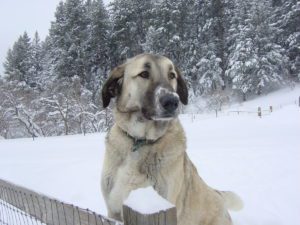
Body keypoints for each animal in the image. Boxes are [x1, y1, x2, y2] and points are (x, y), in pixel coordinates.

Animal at [99, 53, 243, 224]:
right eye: (144, 74)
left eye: (172, 75)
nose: (172, 101)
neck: (140, 141)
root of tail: (217, 194)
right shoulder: (113, 212)